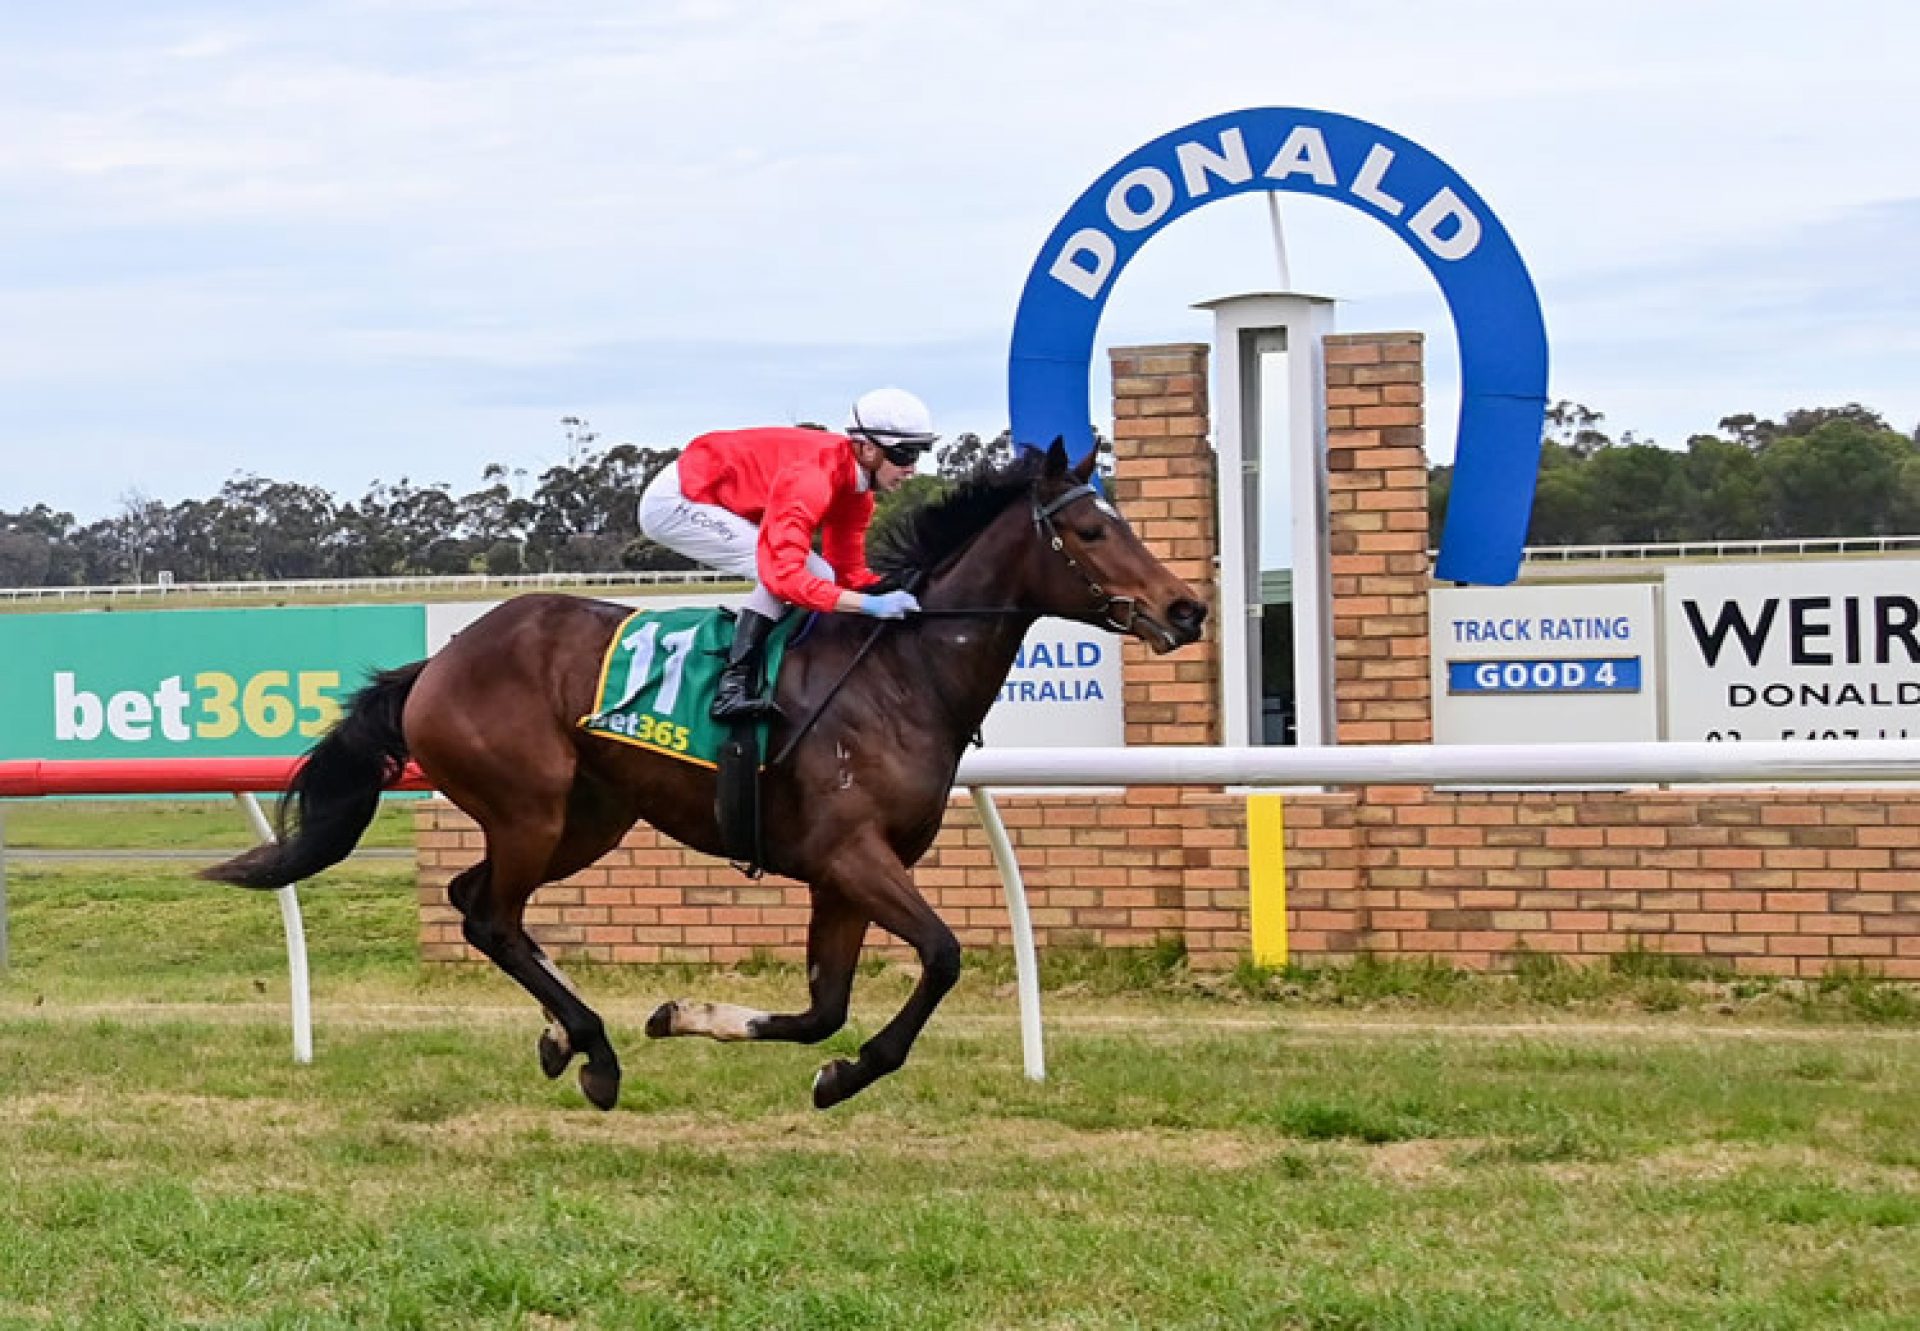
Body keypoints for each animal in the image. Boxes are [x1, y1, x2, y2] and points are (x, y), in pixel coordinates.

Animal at [202, 441, 1205, 1106]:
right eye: (1089, 529)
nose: (1186, 607)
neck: (900, 673)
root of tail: (441, 659)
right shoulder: (852, 854)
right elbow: (944, 956)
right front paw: (844, 1075)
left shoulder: (843, 875)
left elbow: (823, 1009)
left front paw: (703, 1020)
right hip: (532, 807)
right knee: (492, 917)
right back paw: (594, 1051)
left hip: (589, 818)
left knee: (476, 899)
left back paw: (561, 1033)